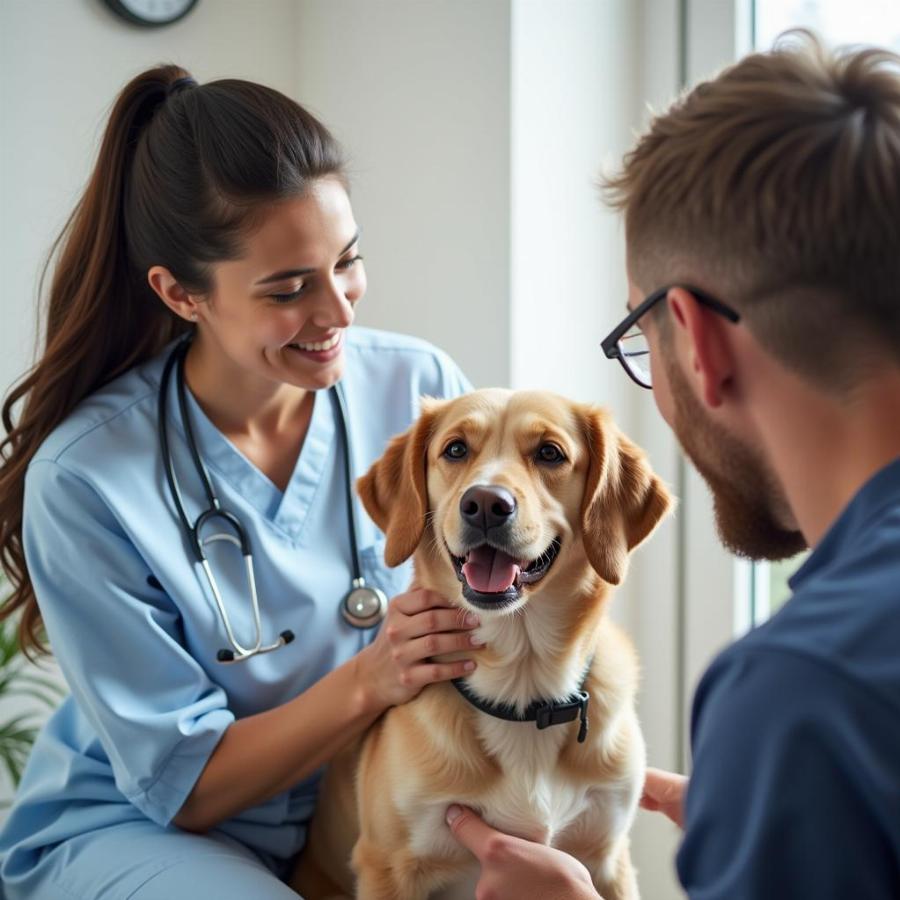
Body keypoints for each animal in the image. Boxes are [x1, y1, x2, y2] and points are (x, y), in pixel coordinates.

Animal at [292, 390, 672, 900]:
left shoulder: (610, 859)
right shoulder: (386, 866)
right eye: (455, 449)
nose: (486, 503)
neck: (524, 689)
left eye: (550, 453)